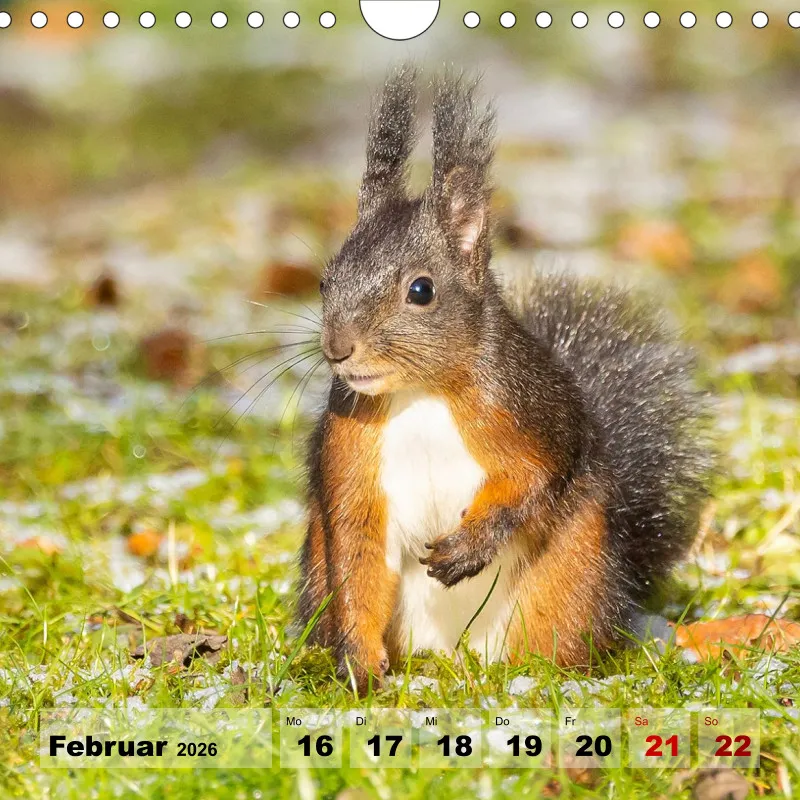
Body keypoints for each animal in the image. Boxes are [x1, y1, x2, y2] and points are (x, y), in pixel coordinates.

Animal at [296, 67, 712, 692]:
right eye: (325, 280)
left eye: (421, 290)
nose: (338, 349)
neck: (420, 394)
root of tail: (452, 654)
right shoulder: (350, 453)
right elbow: (355, 551)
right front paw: (358, 667)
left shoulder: (529, 409)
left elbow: (538, 476)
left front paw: (473, 544)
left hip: (569, 580)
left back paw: (546, 675)